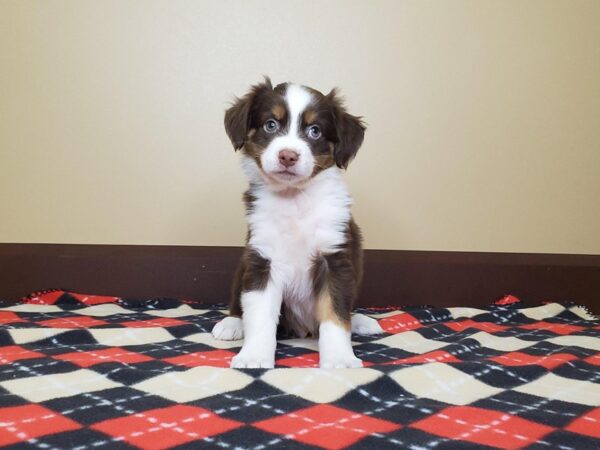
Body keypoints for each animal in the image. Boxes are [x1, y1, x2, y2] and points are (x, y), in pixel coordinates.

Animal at [212, 79, 380, 368]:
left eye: (315, 131)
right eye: (270, 125)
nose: (288, 156)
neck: (294, 199)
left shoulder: (335, 259)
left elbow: (336, 314)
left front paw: (340, 359)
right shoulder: (263, 259)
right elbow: (259, 315)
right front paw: (254, 356)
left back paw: (360, 321)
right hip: (244, 265)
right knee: (238, 302)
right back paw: (232, 323)